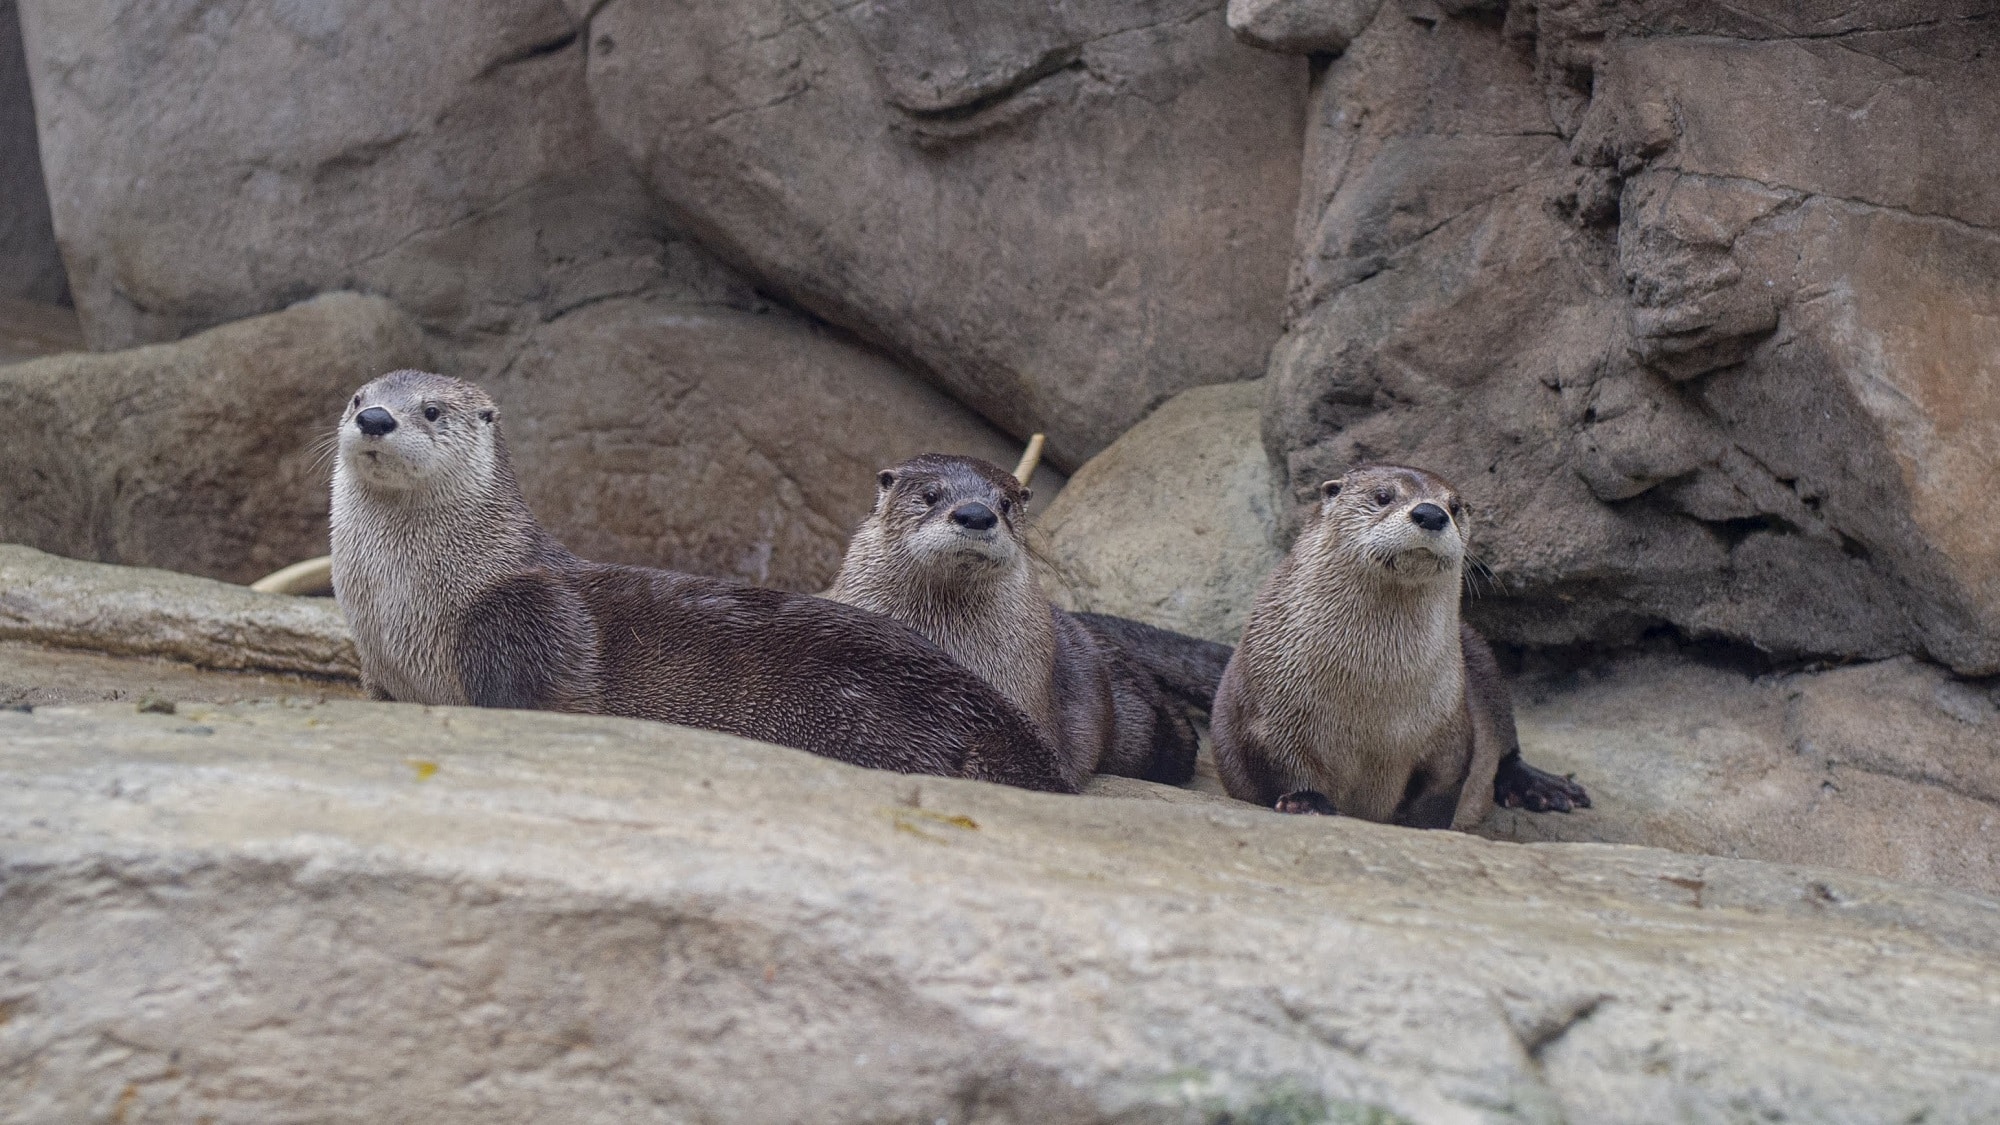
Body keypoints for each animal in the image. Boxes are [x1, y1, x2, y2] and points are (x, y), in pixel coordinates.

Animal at [330, 370, 1072, 794]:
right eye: (358, 397)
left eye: (430, 410)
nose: (375, 418)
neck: (407, 610)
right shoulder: (380, 672)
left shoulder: (526, 616)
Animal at [1212, 464, 1589, 827]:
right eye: (1383, 496)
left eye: (1454, 506)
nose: (1431, 513)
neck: (1374, 693)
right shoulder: (1269, 716)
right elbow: (1280, 765)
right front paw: (1306, 802)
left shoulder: (1450, 730)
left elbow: (1444, 787)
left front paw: (1417, 824)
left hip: (1484, 666)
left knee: (1507, 747)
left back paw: (1543, 789)